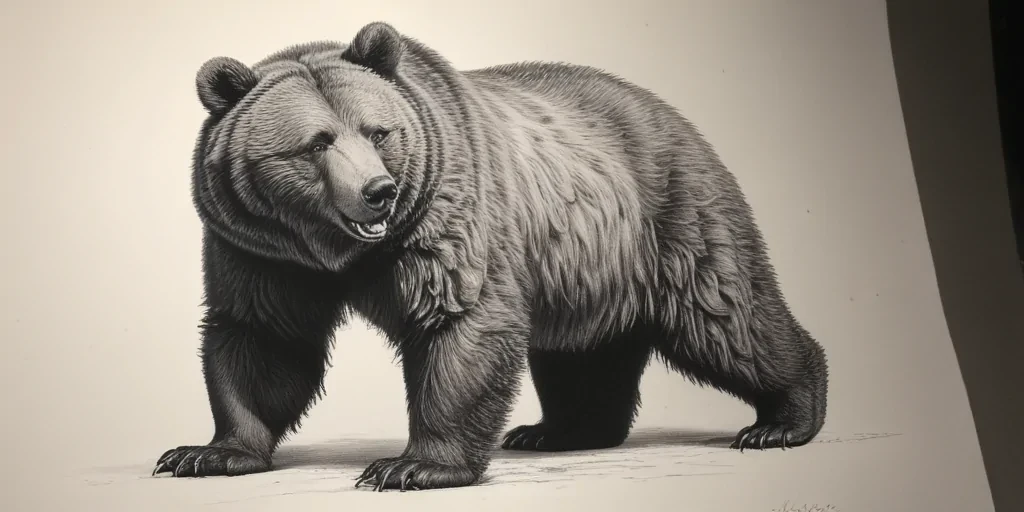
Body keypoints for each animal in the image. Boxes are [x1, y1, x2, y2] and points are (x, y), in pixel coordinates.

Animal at [151, 21, 829, 491]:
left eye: (378, 132)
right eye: (316, 143)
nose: (378, 192)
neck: (338, 252)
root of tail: (672, 114)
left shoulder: (448, 214)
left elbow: (460, 321)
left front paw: (413, 467)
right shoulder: (259, 250)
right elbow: (261, 338)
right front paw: (208, 452)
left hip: (668, 216)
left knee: (726, 316)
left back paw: (782, 419)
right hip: (583, 262)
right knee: (583, 351)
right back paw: (556, 430)